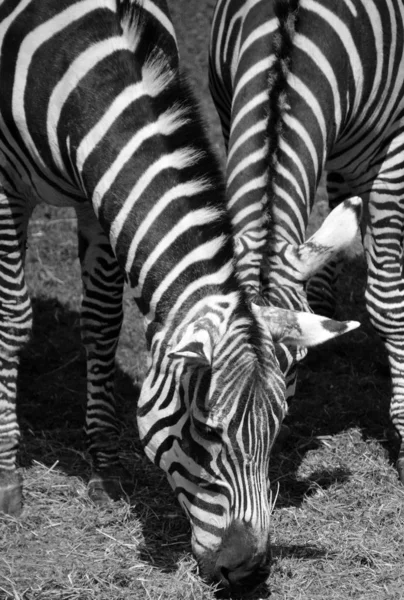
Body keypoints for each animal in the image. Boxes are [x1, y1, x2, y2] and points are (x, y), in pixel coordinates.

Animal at [0, 0, 362, 592]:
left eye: (277, 429)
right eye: (204, 432)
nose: (249, 572)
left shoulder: (99, 194)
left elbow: (103, 321)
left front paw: (103, 464)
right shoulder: (6, 190)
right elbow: (11, 321)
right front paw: (9, 475)